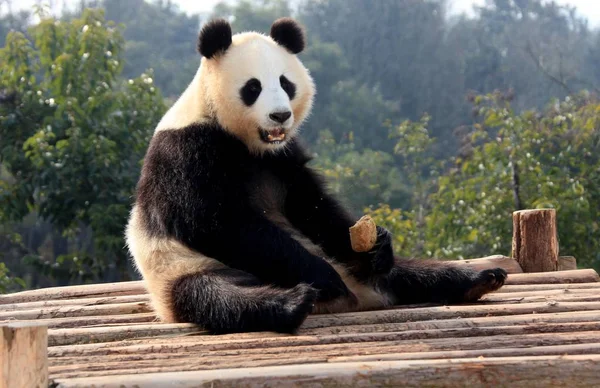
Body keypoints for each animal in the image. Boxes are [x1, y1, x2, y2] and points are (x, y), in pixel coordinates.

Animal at [125, 17, 506, 334]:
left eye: (286, 83)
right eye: (253, 87)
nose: (280, 115)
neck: (248, 142)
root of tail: (361, 295)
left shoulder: (284, 158)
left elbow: (311, 207)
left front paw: (375, 244)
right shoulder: (187, 150)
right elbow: (213, 220)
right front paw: (322, 277)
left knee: (405, 271)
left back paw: (478, 277)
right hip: (185, 270)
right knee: (218, 296)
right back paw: (296, 301)